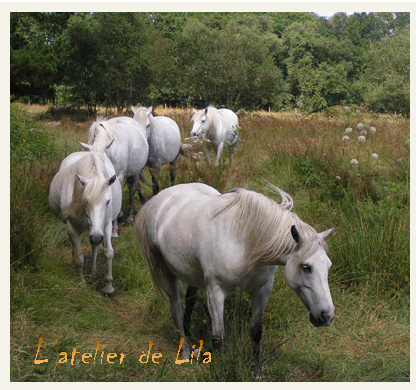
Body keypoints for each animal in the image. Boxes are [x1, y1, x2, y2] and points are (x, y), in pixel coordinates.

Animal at [48, 151, 122, 294]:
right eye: (86, 201)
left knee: (95, 247)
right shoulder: (72, 227)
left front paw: (108, 287)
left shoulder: (106, 225)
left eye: (108, 201)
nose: (97, 236)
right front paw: (82, 283)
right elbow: (79, 258)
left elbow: (108, 253)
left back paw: (93, 272)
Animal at [135, 183, 336, 378]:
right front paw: (217, 369)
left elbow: (256, 331)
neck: (244, 241)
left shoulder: (262, 290)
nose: (327, 316)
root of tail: (159, 198)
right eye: (306, 267)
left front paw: (256, 370)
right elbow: (218, 336)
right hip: (166, 271)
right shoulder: (215, 291)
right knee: (176, 307)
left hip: (193, 273)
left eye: (328, 266)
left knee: (190, 300)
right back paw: (184, 350)